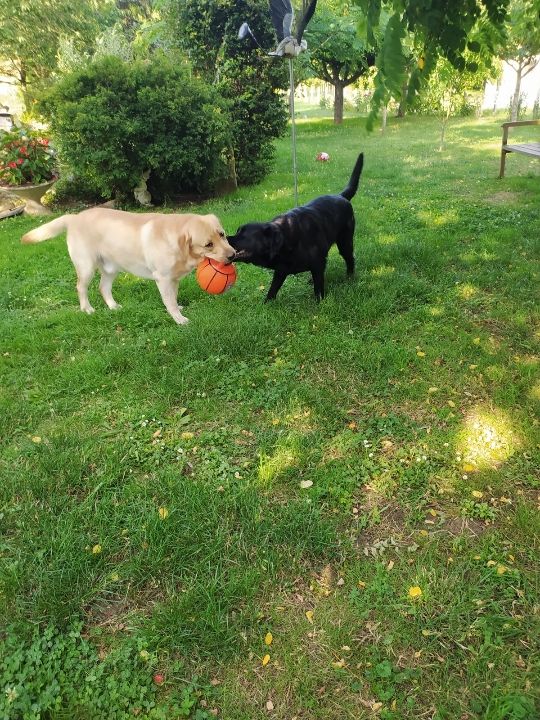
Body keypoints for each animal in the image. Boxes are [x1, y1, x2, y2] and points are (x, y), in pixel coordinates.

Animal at [21, 205, 234, 324]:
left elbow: (173, 297)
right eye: (208, 244)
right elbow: (169, 301)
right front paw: (178, 319)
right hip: (86, 266)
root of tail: (74, 217)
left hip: (111, 268)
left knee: (103, 287)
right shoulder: (163, 278)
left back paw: (113, 306)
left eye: (222, 234)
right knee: (81, 287)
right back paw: (87, 309)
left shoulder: (173, 280)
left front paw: (178, 310)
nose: (233, 255)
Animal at [230, 153, 364, 302]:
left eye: (243, 235)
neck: (285, 239)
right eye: (237, 231)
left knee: (350, 258)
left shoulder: (317, 263)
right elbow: (272, 289)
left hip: (345, 242)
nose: (226, 238)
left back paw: (350, 276)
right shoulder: (281, 270)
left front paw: (320, 302)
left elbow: (318, 287)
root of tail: (341, 196)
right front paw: (266, 303)